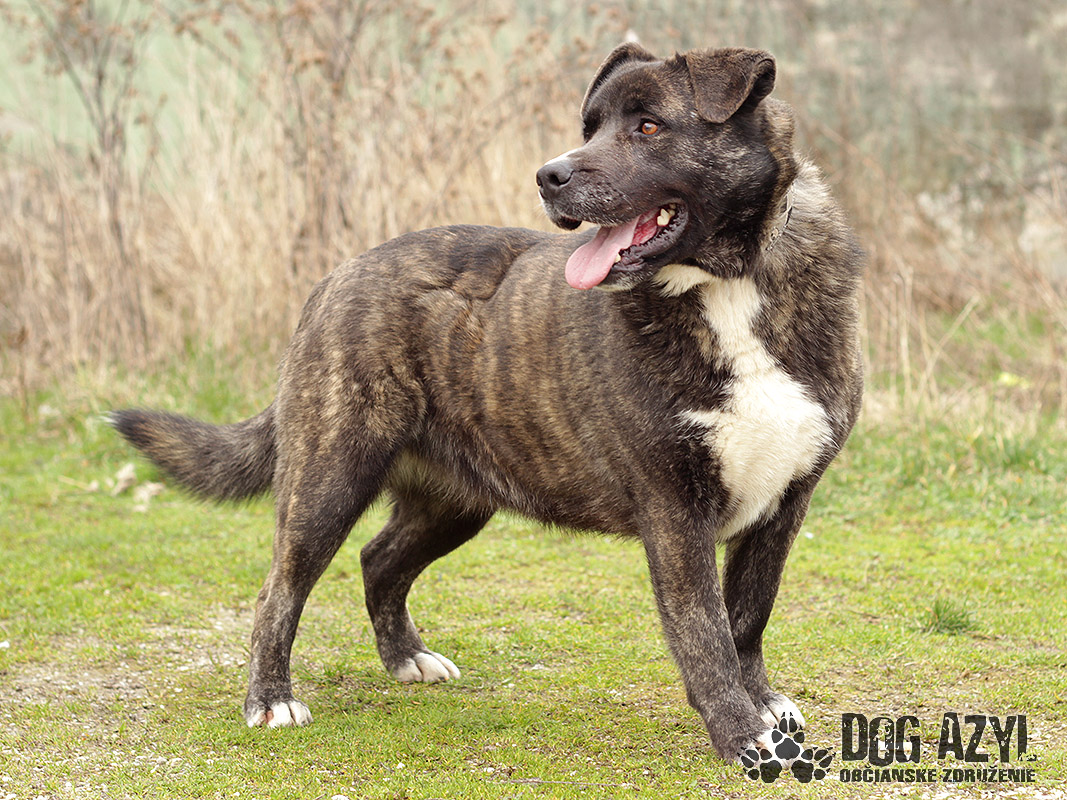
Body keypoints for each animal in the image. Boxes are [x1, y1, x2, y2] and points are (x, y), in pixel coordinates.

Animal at [112, 43, 863, 761]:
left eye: (649, 126)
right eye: (589, 127)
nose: (549, 176)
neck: (730, 284)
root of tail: (337, 275)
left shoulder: (784, 502)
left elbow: (746, 620)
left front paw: (762, 708)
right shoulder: (675, 510)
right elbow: (704, 633)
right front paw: (741, 736)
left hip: (455, 500)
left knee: (378, 560)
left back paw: (406, 658)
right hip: (329, 479)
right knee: (280, 589)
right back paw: (269, 700)